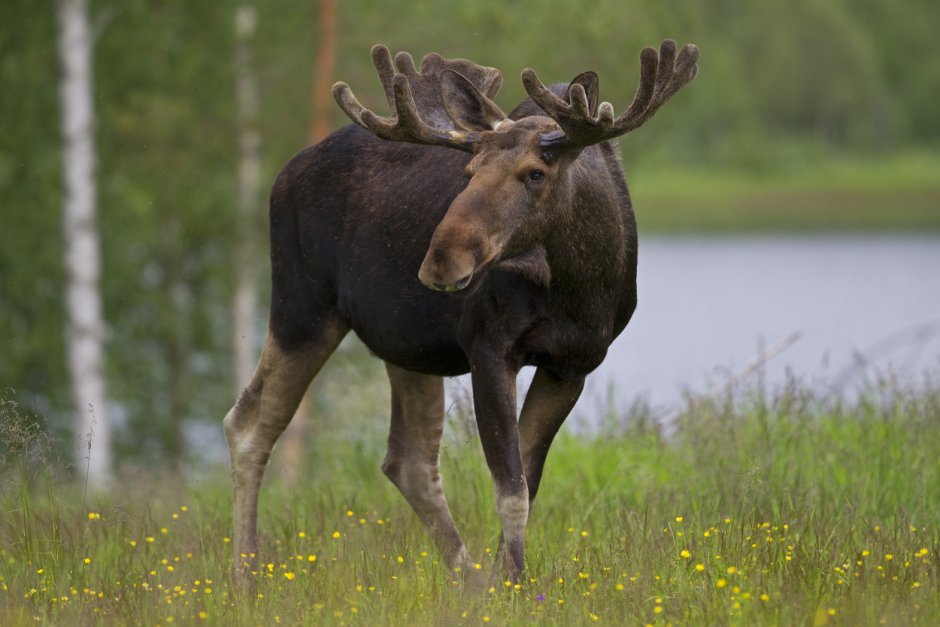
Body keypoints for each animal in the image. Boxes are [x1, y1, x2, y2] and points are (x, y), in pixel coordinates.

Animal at [223, 39, 698, 585]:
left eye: (536, 173)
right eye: (468, 173)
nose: (440, 261)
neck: (581, 286)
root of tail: (282, 174)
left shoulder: (572, 365)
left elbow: (528, 480)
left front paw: (506, 580)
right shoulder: (489, 348)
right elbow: (510, 490)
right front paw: (515, 584)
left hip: (404, 344)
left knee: (408, 460)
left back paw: (469, 583)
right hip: (302, 309)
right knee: (249, 424)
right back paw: (244, 578)